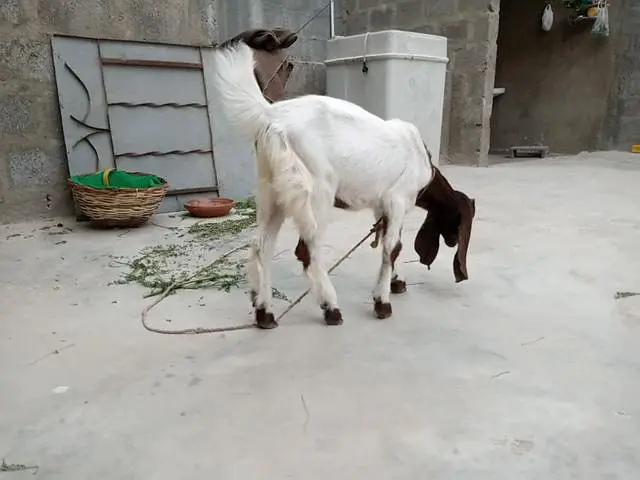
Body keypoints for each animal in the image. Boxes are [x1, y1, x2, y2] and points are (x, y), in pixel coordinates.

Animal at [211, 40, 476, 329]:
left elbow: (389, 242)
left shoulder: (381, 206)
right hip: (316, 191)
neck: (422, 163)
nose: (453, 241)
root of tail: (271, 115)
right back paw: (330, 308)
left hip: (272, 191)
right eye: (458, 222)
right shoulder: (396, 200)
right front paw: (382, 302)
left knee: (261, 247)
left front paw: (396, 282)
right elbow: (392, 248)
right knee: (307, 249)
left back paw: (264, 312)